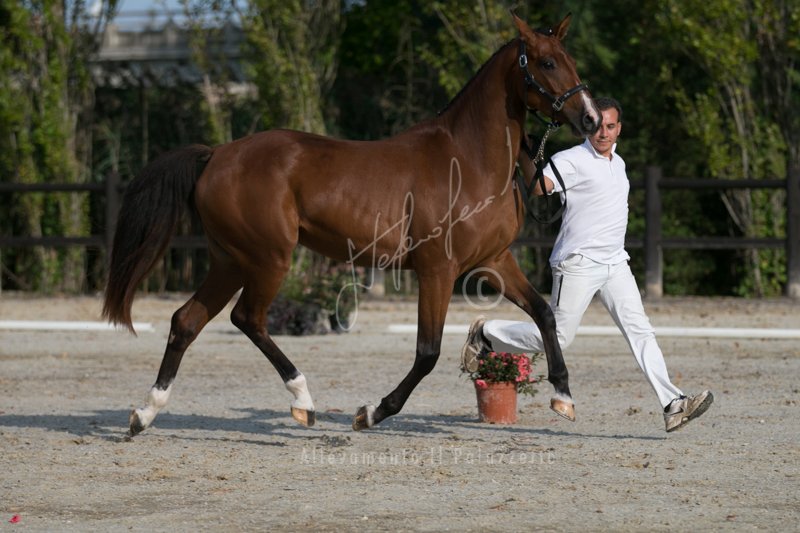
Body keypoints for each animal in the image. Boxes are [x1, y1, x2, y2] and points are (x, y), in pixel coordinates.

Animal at [103, 13, 600, 436]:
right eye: (547, 62)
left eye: (573, 61)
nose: (592, 119)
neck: (470, 159)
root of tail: (217, 154)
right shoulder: (437, 270)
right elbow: (427, 353)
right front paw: (371, 412)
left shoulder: (493, 261)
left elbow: (544, 313)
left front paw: (563, 396)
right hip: (267, 258)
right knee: (247, 318)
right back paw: (302, 401)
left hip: (230, 260)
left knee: (187, 320)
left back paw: (144, 414)